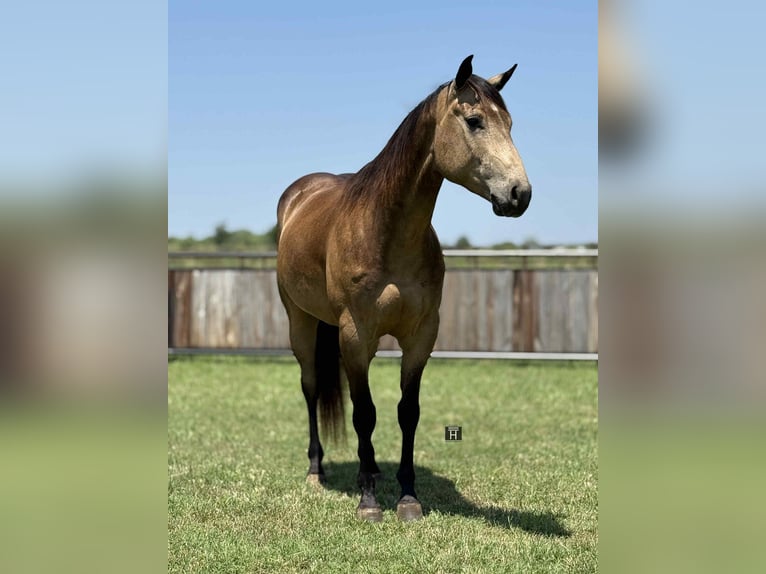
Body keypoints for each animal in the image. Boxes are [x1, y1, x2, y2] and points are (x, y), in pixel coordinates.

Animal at [276, 55, 531, 522]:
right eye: (474, 121)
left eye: (509, 123)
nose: (519, 194)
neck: (386, 231)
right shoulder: (355, 337)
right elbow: (364, 414)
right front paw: (369, 500)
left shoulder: (420, 336)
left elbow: (406, 412)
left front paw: (408, 496)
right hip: (299, 321)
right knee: (310, 387)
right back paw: (317, 470)